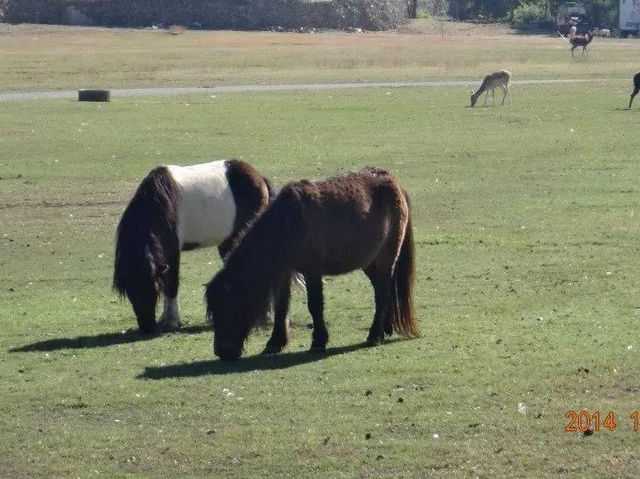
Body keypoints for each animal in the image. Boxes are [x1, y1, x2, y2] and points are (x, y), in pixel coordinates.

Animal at [113, 160, 272, 334]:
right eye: (130, 292)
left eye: (154, 290)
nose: (147, 327)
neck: (158, 202)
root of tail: (260, 178)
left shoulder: (172, 251)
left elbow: (172, 284)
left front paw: (172, 321)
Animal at [205, 168, 422, 360]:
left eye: (229, 305)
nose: (222, 352)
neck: (287, 224)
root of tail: (394, 183)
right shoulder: (285, 272)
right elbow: (281, 306)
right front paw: (275, 343)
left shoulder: (312, 271)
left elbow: (314, 305)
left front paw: (318, 341)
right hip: (370, 263)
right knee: (383, 290)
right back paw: (386, 329)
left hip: (385, 259)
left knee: (383, 293)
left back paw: (375, 335)